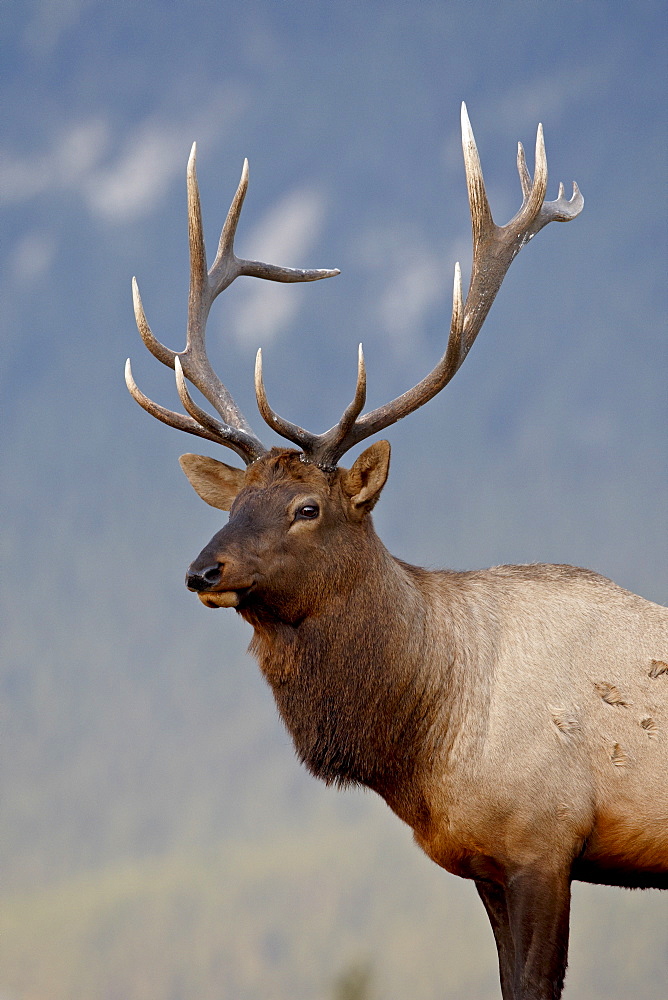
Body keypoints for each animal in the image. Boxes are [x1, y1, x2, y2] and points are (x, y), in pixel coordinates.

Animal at [126, 105, 668, 996]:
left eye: (308, 507)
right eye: (235, 503)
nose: (202, 570)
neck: (425, 739)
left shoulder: (544, 842)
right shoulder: (485, 861)